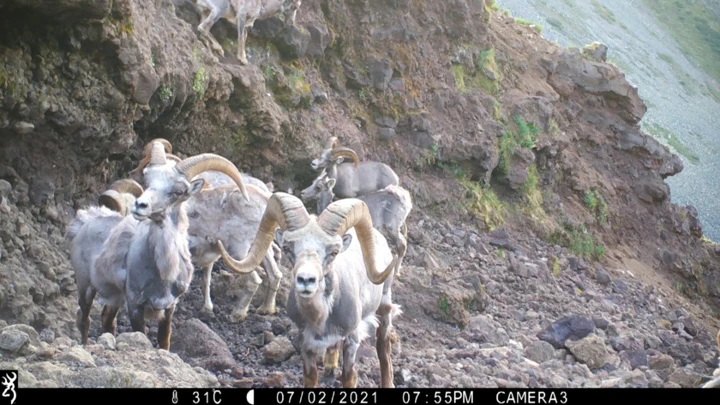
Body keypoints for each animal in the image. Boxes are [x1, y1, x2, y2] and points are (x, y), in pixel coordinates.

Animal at [65, 141, 250, 348]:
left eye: (179, 191)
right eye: (147, 182)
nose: (140, 205)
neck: (163, 272)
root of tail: (83, 222)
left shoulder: (169, 307)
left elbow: (164, 341)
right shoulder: (135, 305)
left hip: (115, 296)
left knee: (107, 320)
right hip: (85, 285)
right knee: (85, 319)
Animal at [131, 138, 282, 318]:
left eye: (178, 191)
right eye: (147, 181)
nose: (140, 205)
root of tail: (265, 203)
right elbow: (206, 280)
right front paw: (207, 308)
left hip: (239, 250)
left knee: (254, 280)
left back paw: (237, 315)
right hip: (262, 250)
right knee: (274, 274)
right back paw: (266, 309)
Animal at [217, 193, 402, 388]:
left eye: (334, 252)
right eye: (287, 248)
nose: (306, 280)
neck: (320, 319)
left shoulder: (352, 339)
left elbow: (348, 376)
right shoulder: (306, 342)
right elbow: (310, 376)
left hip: (384, 306)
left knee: (383, 347)